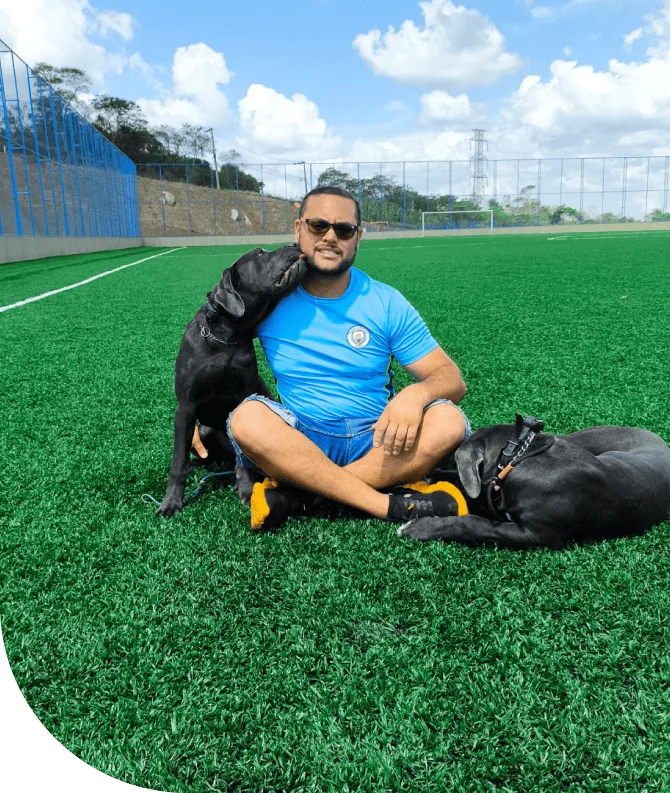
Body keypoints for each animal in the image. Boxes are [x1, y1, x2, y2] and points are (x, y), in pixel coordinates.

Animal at [157, 244, 306, 518]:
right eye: (260, 254)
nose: (294, 245)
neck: (225, 337)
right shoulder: (186, 407)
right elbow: (177, 460)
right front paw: (171, 501)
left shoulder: (242, 397)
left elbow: (242, 461)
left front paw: (246, 490)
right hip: (202, 429)